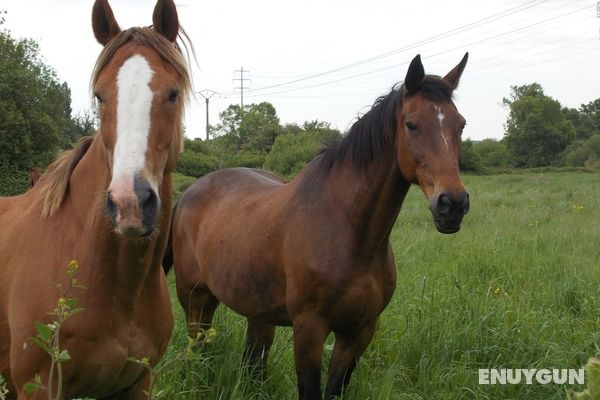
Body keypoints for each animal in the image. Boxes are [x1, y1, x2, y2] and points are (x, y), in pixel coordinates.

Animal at [166, 54, 472, 400]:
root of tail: (189, 192)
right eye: (412, 124)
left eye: (460, 124)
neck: (351, 234)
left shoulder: (358, 332)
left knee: (253, 361)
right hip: (195, 298)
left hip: (256, 311)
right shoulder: (309, 330)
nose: (452, 204)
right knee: (196, 350)